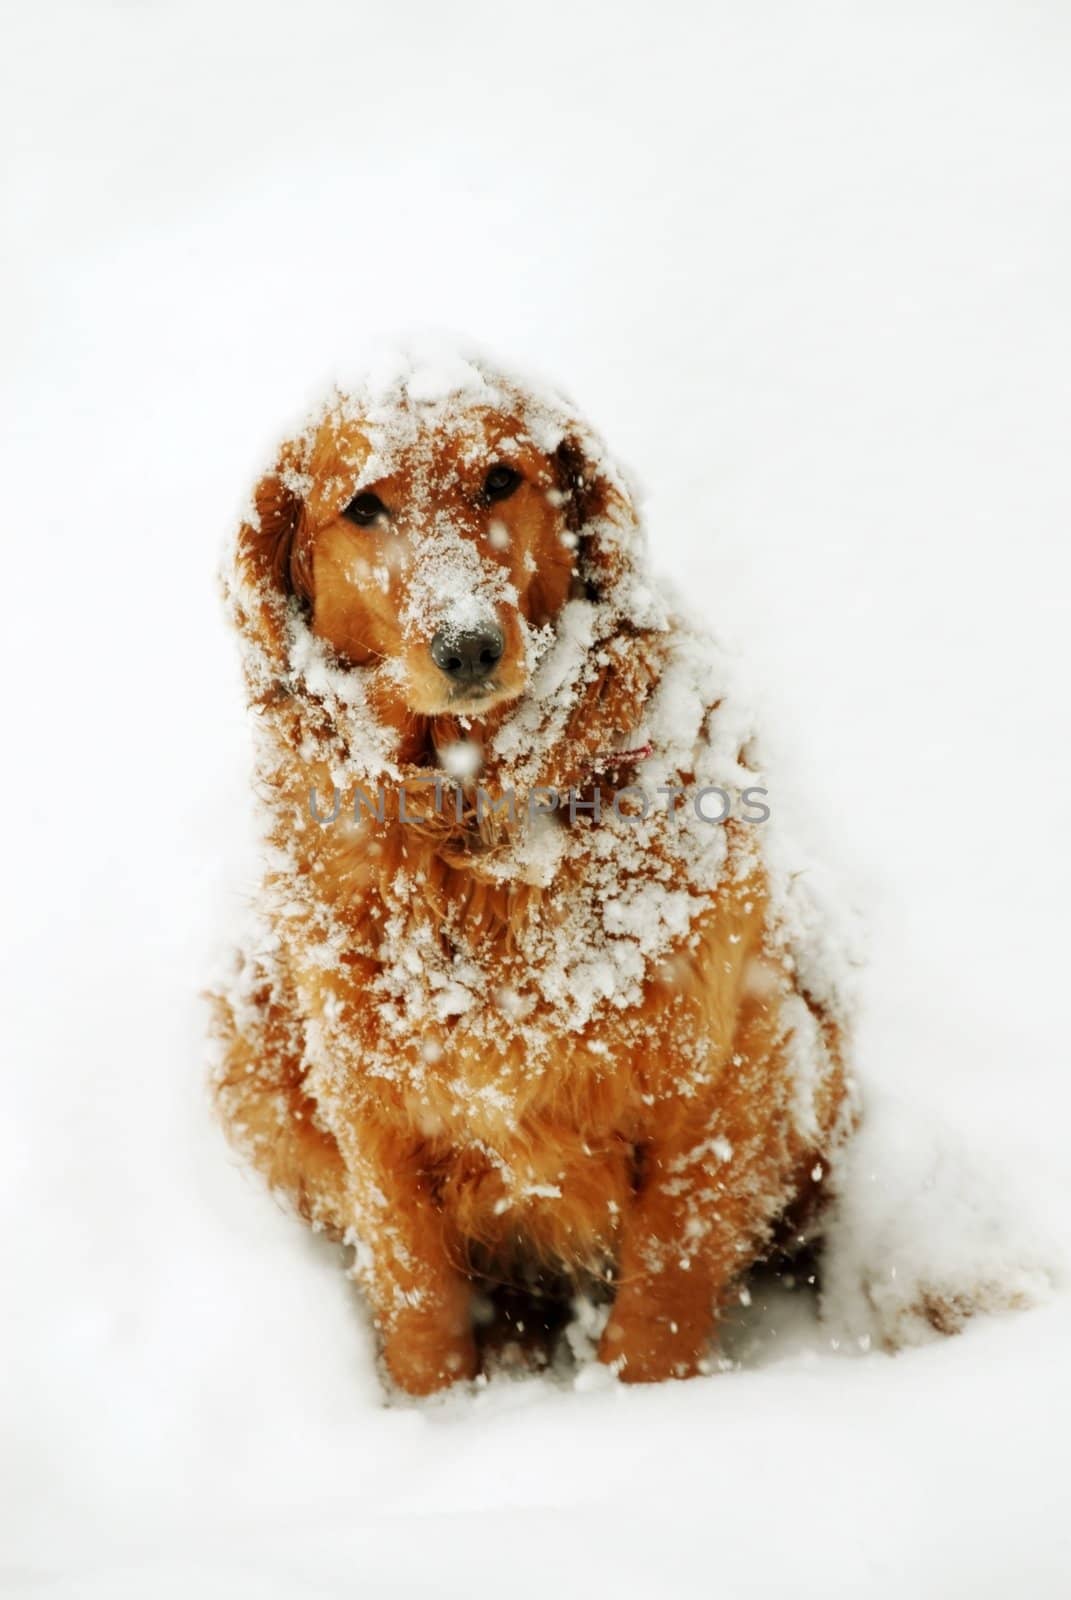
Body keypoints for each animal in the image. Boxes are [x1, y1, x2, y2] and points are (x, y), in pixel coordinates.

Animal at [212, 344, 858, 1395]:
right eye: (364, 507)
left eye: (499, 480)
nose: (469, 644)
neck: (477, 840)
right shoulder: (368, 1106)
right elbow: (414, 1289)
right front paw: (436, 1409)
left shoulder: (729, 1061)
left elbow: (664, 1286)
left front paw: (648, 1407)